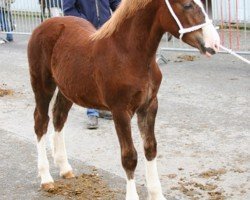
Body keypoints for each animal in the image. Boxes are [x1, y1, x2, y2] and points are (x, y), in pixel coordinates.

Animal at [27, 0, 219, 200]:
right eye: (188, 5)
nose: (214, 44)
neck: (128, 55)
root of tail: (44, 24)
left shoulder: (149, 106)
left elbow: (150, 148)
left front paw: (156, 194)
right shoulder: (120, 111)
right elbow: (129, 157)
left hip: (68, 89)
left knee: (59, 117)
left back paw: (65, 168)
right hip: (43, 85)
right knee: (41, 122)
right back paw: (46, 178)